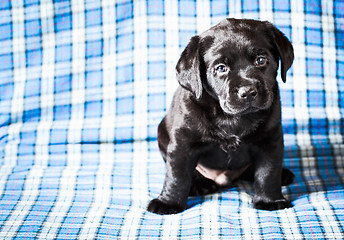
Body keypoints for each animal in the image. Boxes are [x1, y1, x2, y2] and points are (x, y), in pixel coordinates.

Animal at [146, 17, 294, 215]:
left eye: (261, 60)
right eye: (221, 68)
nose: (248, 92)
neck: (231, 117)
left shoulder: (270, 140)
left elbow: (268, 172)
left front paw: (270, 200)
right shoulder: (182, 143)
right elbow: (177, 175)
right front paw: (168, 202)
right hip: (162, 133)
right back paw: (200, 185)